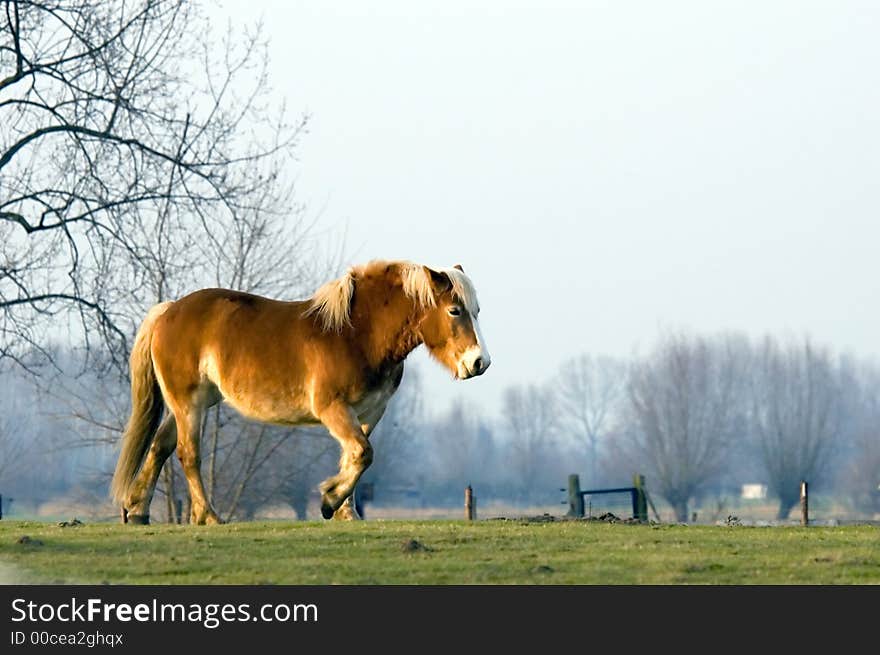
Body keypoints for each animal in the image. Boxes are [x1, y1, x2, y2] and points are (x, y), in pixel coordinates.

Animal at [110, 260, 488, 524]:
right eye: (454, 310)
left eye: (476, 311)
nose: (479, 362)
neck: (358, 334)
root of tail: (168, 310)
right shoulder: (332, 409)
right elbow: (363, 454)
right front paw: (329, 499)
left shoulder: (368, 412)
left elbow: (354, 456)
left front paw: (345, 511)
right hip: (189, 402)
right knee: (189, 455)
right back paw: (209, 516)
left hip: (194, 403)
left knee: (160, 446)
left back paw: (138, 510)